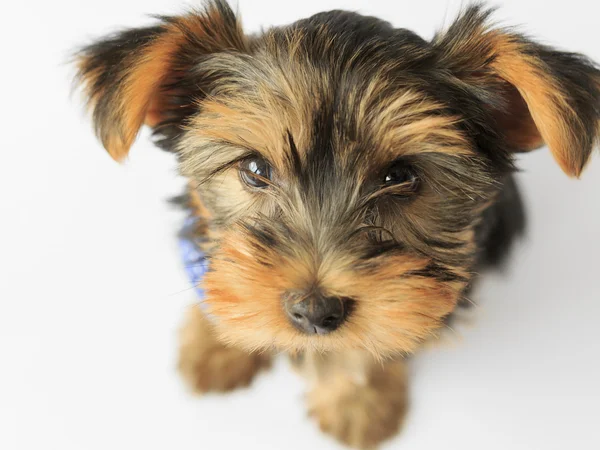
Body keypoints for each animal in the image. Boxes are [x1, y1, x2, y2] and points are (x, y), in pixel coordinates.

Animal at [75, 1, 600, 448]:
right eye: (256, 169)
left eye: (400, 177)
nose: (314, 311)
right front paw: (216, 346)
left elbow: (371, 346)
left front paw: (359, 404)